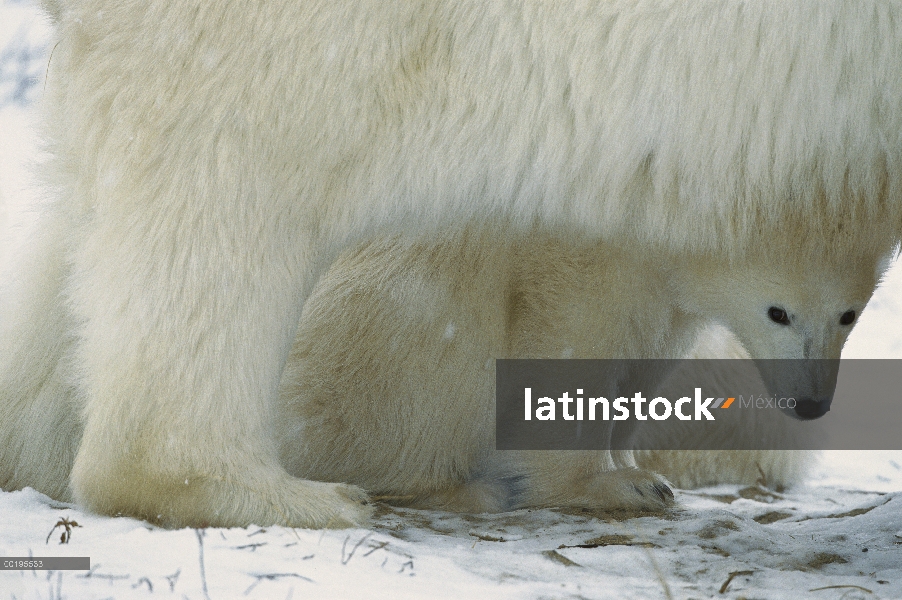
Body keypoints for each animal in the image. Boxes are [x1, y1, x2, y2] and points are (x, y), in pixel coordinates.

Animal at [1, 1, 902, 524]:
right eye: (782, 312)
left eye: (851, 313)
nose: (812, 402)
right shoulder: (597, 253)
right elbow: (565, 336)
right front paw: (614, 484)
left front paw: (631, 465)